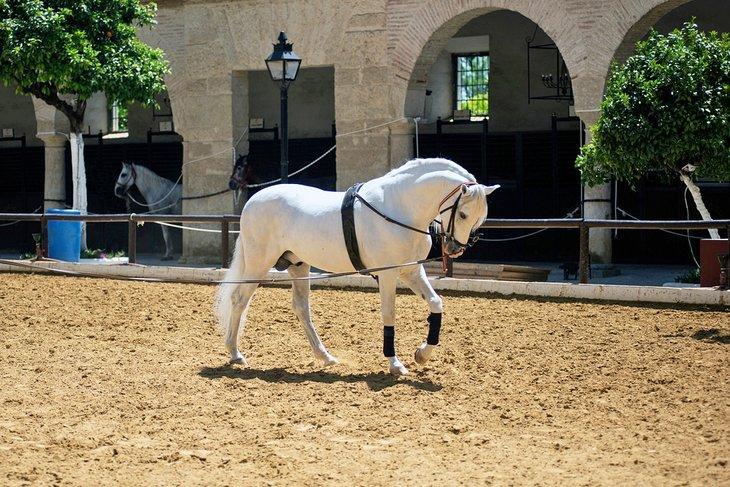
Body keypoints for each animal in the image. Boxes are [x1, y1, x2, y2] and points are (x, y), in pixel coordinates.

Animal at [214, 158, 499, 376]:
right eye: (462, 214)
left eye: (479, 218)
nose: (454, 248)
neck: (397, 208)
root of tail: (253, 201)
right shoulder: (388, 274)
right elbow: (389, 314)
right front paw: (395, 364)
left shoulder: (411, 271)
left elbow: (436, 303)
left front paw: (422, 354)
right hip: (258, 264)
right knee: (239, 300)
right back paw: (235, 354)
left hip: (298, 265)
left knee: (301, 308)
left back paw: (325, 357)